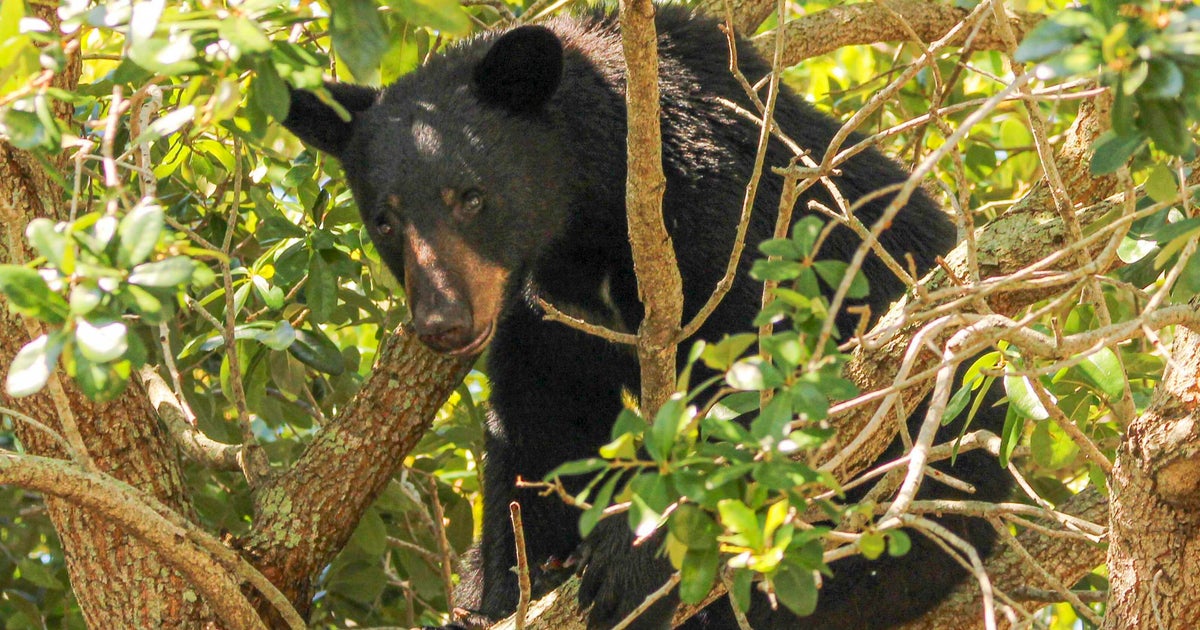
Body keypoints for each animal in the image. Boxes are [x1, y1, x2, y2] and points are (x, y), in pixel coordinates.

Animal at [281, 6, 1011, 629]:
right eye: (385, 220)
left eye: (471, 196)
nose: (444, 322)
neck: (591, 222)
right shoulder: (545, 311)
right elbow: (539, 425)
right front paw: (502, 585)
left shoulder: (733, 223)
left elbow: (770, 382)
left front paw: (632, 558)